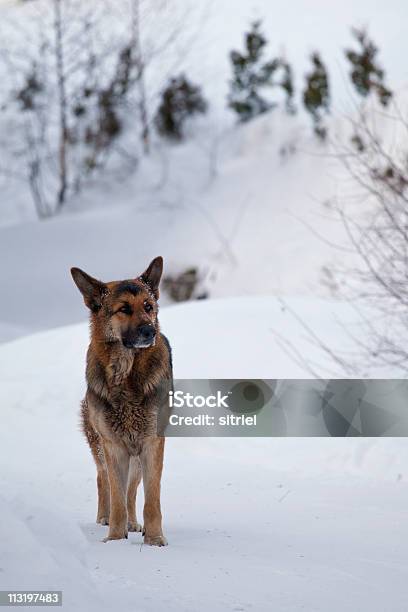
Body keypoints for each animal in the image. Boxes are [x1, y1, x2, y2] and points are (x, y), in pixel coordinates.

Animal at [71, 256, 171, 544]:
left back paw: (134, 523)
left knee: (132, 490)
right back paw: (106, 518)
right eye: (124, 309)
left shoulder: (151, 443)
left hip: (135, 457)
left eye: (148, 306)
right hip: (102, 446)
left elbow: (151, 499)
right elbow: (116, 497)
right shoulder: (113, 446)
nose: (149, 331)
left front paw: (154, 539)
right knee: (103, 478)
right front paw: (115, 539)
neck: (124, 375)